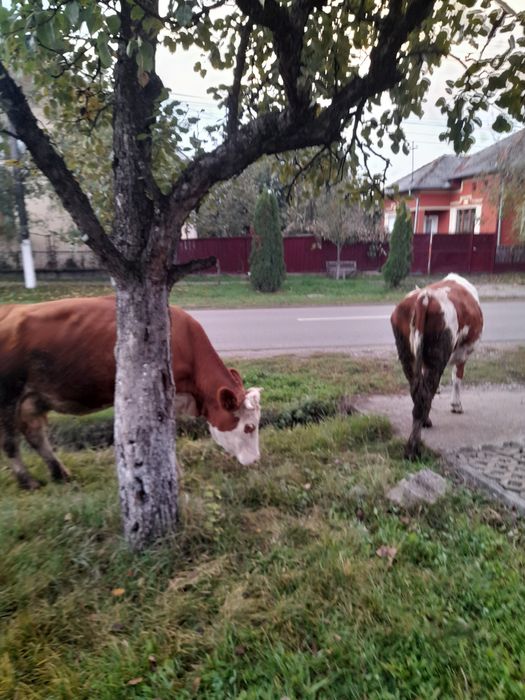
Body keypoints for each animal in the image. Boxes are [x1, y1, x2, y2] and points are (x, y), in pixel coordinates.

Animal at [0, 296, 262, 489]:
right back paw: (28, 481)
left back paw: (60, 473)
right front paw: (172, 473)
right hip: (8, 396)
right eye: (249, 427)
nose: (255, 461)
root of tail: (9, 309)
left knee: (35, 434)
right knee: (10, 441)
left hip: (35, 398)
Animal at [391, 273, 483, 459]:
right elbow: (457, 378)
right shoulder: (462, 355)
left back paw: (420, 429)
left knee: (418, 393)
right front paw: (456, 405)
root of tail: (424, 297)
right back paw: (413, 449)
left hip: (407, 355)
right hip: (439, 353)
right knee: (425, 393)